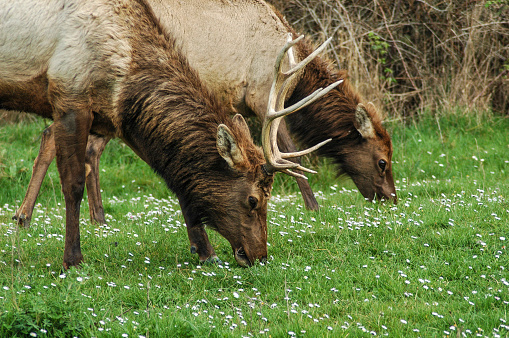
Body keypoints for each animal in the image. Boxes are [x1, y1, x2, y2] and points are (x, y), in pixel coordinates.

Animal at [1, 0, 336, 270]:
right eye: (253, 200)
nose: (260, 256)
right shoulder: (70, 93)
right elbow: (72, 184)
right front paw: (72, 259)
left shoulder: (119, 118)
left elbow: (178, 181)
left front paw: (205, 251)